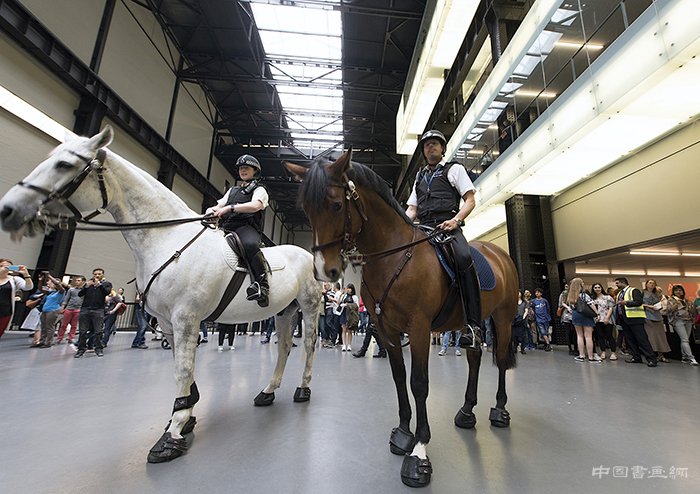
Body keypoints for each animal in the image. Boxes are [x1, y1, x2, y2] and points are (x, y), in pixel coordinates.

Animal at [0, 126, 322, 464]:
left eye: (64, 164)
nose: (8, 210)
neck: (167, 239)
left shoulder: (186, 319)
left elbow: (182, 369)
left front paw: (172, 435)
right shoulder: (168, 323)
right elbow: (180, 368)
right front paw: (186, 416)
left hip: (308, 307)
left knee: (309, 345)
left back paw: (302, 390)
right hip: (284, 311)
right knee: (284, 348)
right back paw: (268, 392)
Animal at [284, 151, 520, 486]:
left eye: (336, 205)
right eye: (306, 209)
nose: (324, 271)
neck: (394, 256)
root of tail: (499, 254)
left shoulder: (418, 329)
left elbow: (419, 383)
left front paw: (419, 452)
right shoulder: (387, 329)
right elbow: (398, 378)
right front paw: (403, 434)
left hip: (502, 318)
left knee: (499, 359)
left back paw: (499, 411)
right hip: (471, 323)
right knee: (474, 356)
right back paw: (466, 411)